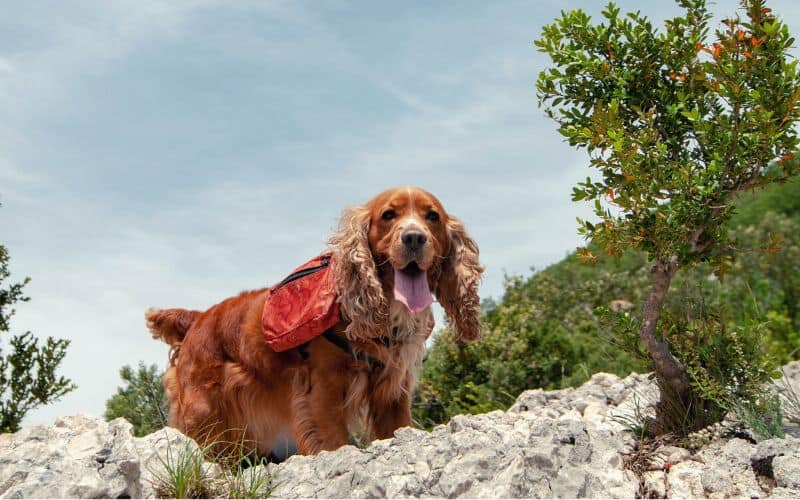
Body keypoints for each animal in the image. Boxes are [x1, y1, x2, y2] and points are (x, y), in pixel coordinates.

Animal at [147, 188, 484, 458]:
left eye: (432, 216)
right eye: (388, 215)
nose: (414, 237)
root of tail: (198, 318)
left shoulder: (393, 391)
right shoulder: (322, 388)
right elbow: (333, 440)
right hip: (202, 414)